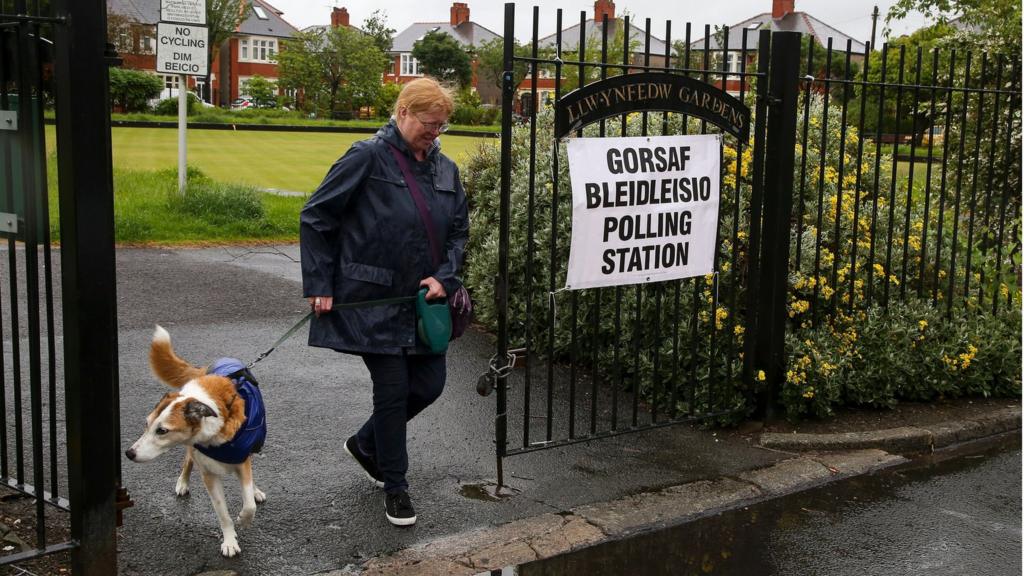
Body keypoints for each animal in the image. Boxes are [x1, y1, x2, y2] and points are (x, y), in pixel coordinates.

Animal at [124, 325, 270, 553]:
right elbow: (222, 512)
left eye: (162, 430)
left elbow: (248, 504)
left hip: (254, 445)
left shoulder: (242, 459)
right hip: (193, 452)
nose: (129, 453)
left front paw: (245, 519)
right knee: (188, 461)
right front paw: (230, 541)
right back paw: (182, 483)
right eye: (147, 424)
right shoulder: (208, 472)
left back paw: (255, 490)